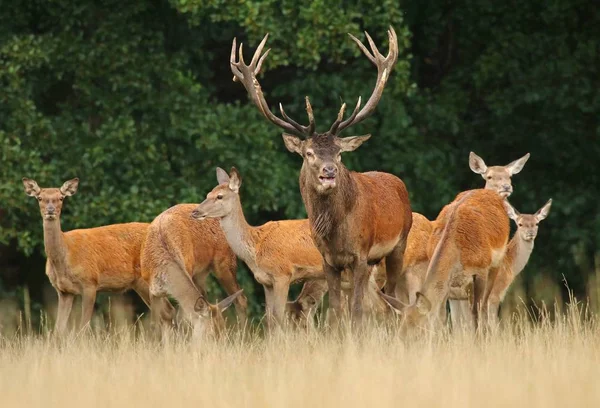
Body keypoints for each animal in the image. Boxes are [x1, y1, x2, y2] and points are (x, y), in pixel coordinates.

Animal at [22, 177, 159, 334]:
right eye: (40, 198)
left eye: (61, 197)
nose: (50, 210)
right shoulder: (63, 291)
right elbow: (58, 329)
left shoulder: (90, 282)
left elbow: (83, 327)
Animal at [141, 202, 246, 340]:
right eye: (210, 334)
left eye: (223, 332)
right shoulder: (153, 290)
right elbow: (155, 324)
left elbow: (182, 319)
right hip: (201, 274)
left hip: (225, 263)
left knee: (241, 300)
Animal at [192, 167, 326, 330]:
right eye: (208, 194)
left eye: (220, 196)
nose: (195, 211)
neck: (255, 247)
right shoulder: (266, 282)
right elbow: (269, 318)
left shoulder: (283, 274)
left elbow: (278, 316)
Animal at [230, 26, 412, 326]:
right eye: (309, 153)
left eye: (339, 153)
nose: (329, 172)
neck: (334, 233)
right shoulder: (328, 261)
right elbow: (336, 311)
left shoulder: (360, 255)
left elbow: (356, 311)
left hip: (399, 244)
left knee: (396, 300)